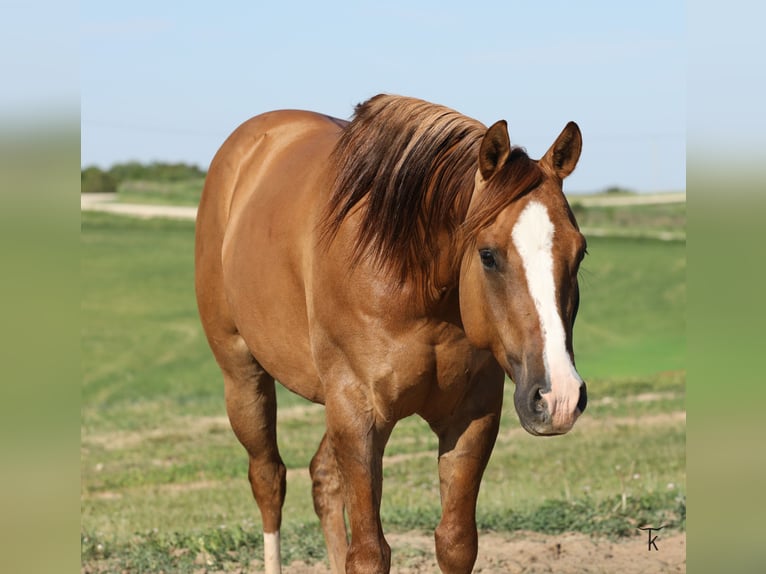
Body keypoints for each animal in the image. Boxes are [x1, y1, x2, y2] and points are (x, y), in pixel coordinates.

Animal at [195, 94, 587, 574]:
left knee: (323, 479)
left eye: (580, 253)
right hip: (243, 374)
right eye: (488, 255)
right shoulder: (357, 416)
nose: (559, 397)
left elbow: (456, 542)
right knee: (268, 480)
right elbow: (368, 554)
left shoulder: (471, 416)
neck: (411, 281)